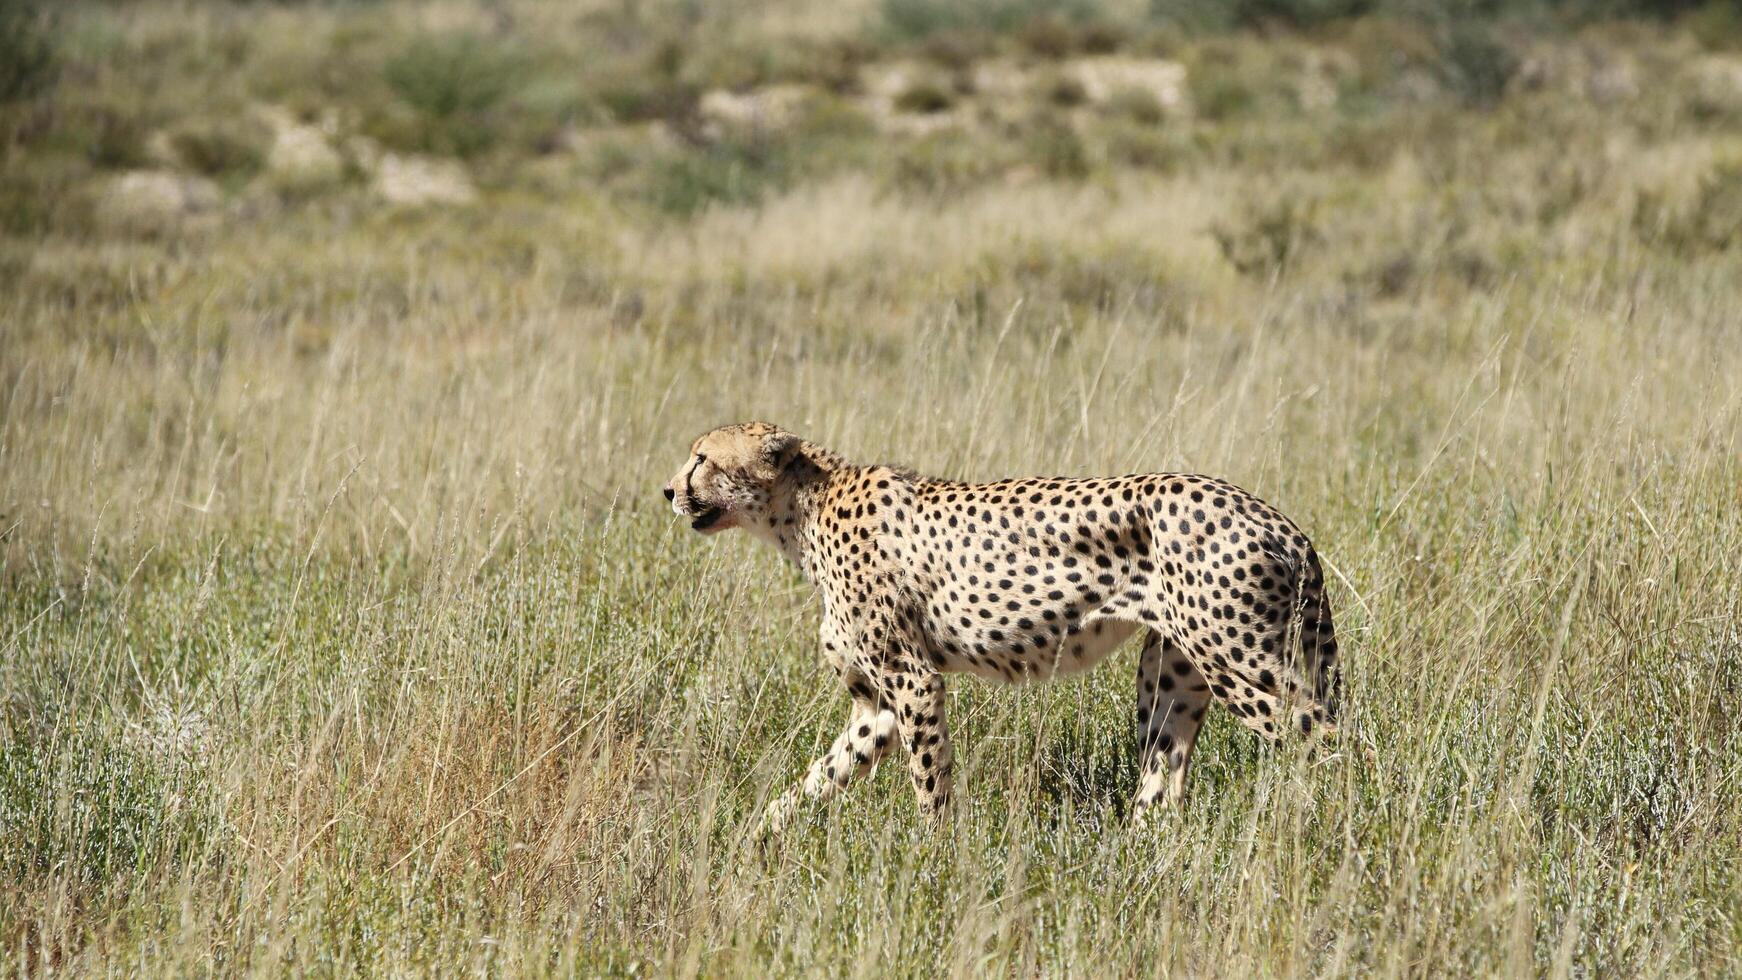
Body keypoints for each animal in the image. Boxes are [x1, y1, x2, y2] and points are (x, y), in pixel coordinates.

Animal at [658, 426, 1337, 832]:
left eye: (702, 458)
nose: (668, 489)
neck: (802, 512)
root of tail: (1274, 516)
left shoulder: (913, 681)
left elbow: (928, 780)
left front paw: (933, 857)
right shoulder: (877, 703)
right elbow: (823, 772)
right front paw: (757, 831)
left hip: (1238, 661)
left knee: (1323, 736)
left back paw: (1332, 831)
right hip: (1173, 672)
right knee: (1165, 771)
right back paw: (1135, 852)